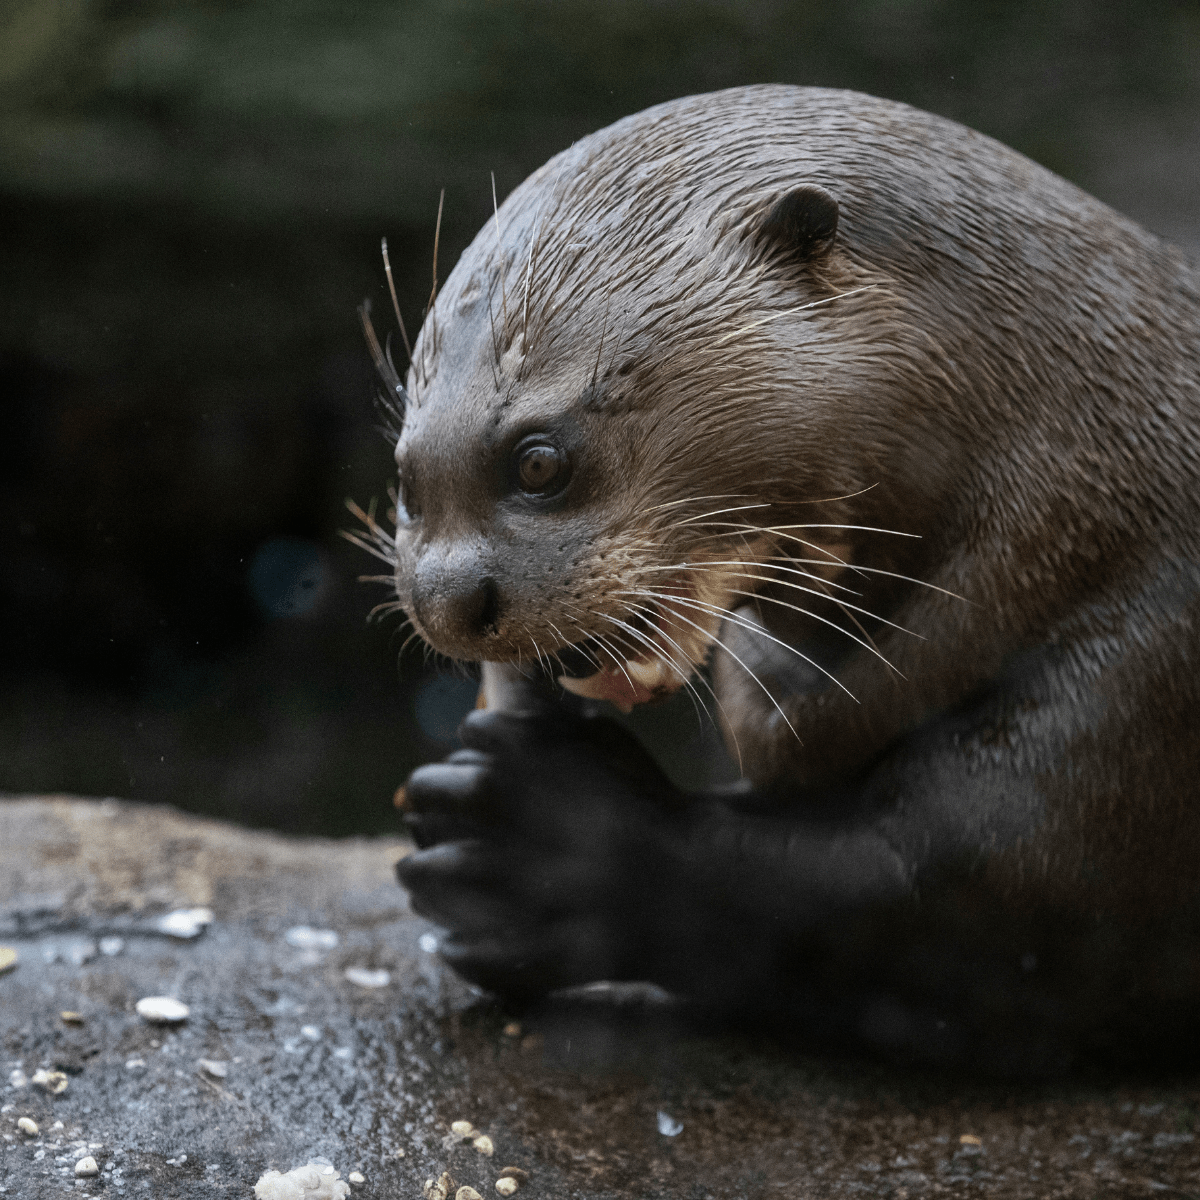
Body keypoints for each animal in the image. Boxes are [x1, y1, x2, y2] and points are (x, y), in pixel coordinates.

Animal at [365, 85, 1200, 1072]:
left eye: (539, 461)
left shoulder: (1139, 685)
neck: (1079, 497)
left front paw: (538, 847)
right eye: (406, 481)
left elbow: (934, 914)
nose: (448, 601)